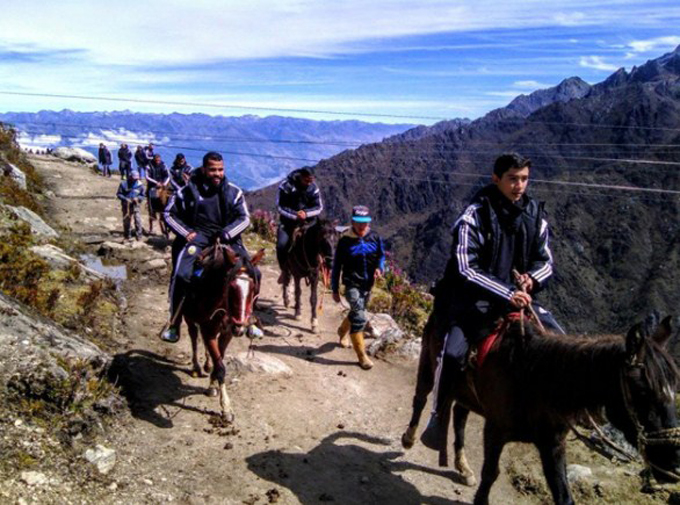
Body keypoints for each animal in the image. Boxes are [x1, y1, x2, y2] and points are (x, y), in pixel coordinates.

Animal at [182, 242, 264, 420]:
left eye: (253, 287)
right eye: (231, 287)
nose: (240, 326)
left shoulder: (226, 333)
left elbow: (219, 357)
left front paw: (212, 385)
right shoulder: (209, 332)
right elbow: (220, 367)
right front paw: (226, 408)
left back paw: (206, 365)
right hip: (189, 319)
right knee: (193, 337)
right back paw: (196, 367)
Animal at [402, 312, 676, 504]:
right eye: (643, 391)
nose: (672, 467)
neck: (535, 377)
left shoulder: (552, 444)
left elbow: (563, 494)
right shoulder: (495, 431)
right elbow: (490, 473)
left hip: (466, 393)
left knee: (459, 415)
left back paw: (463, 467)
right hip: (429, 365)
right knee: (421, 399)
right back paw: (410, 438)